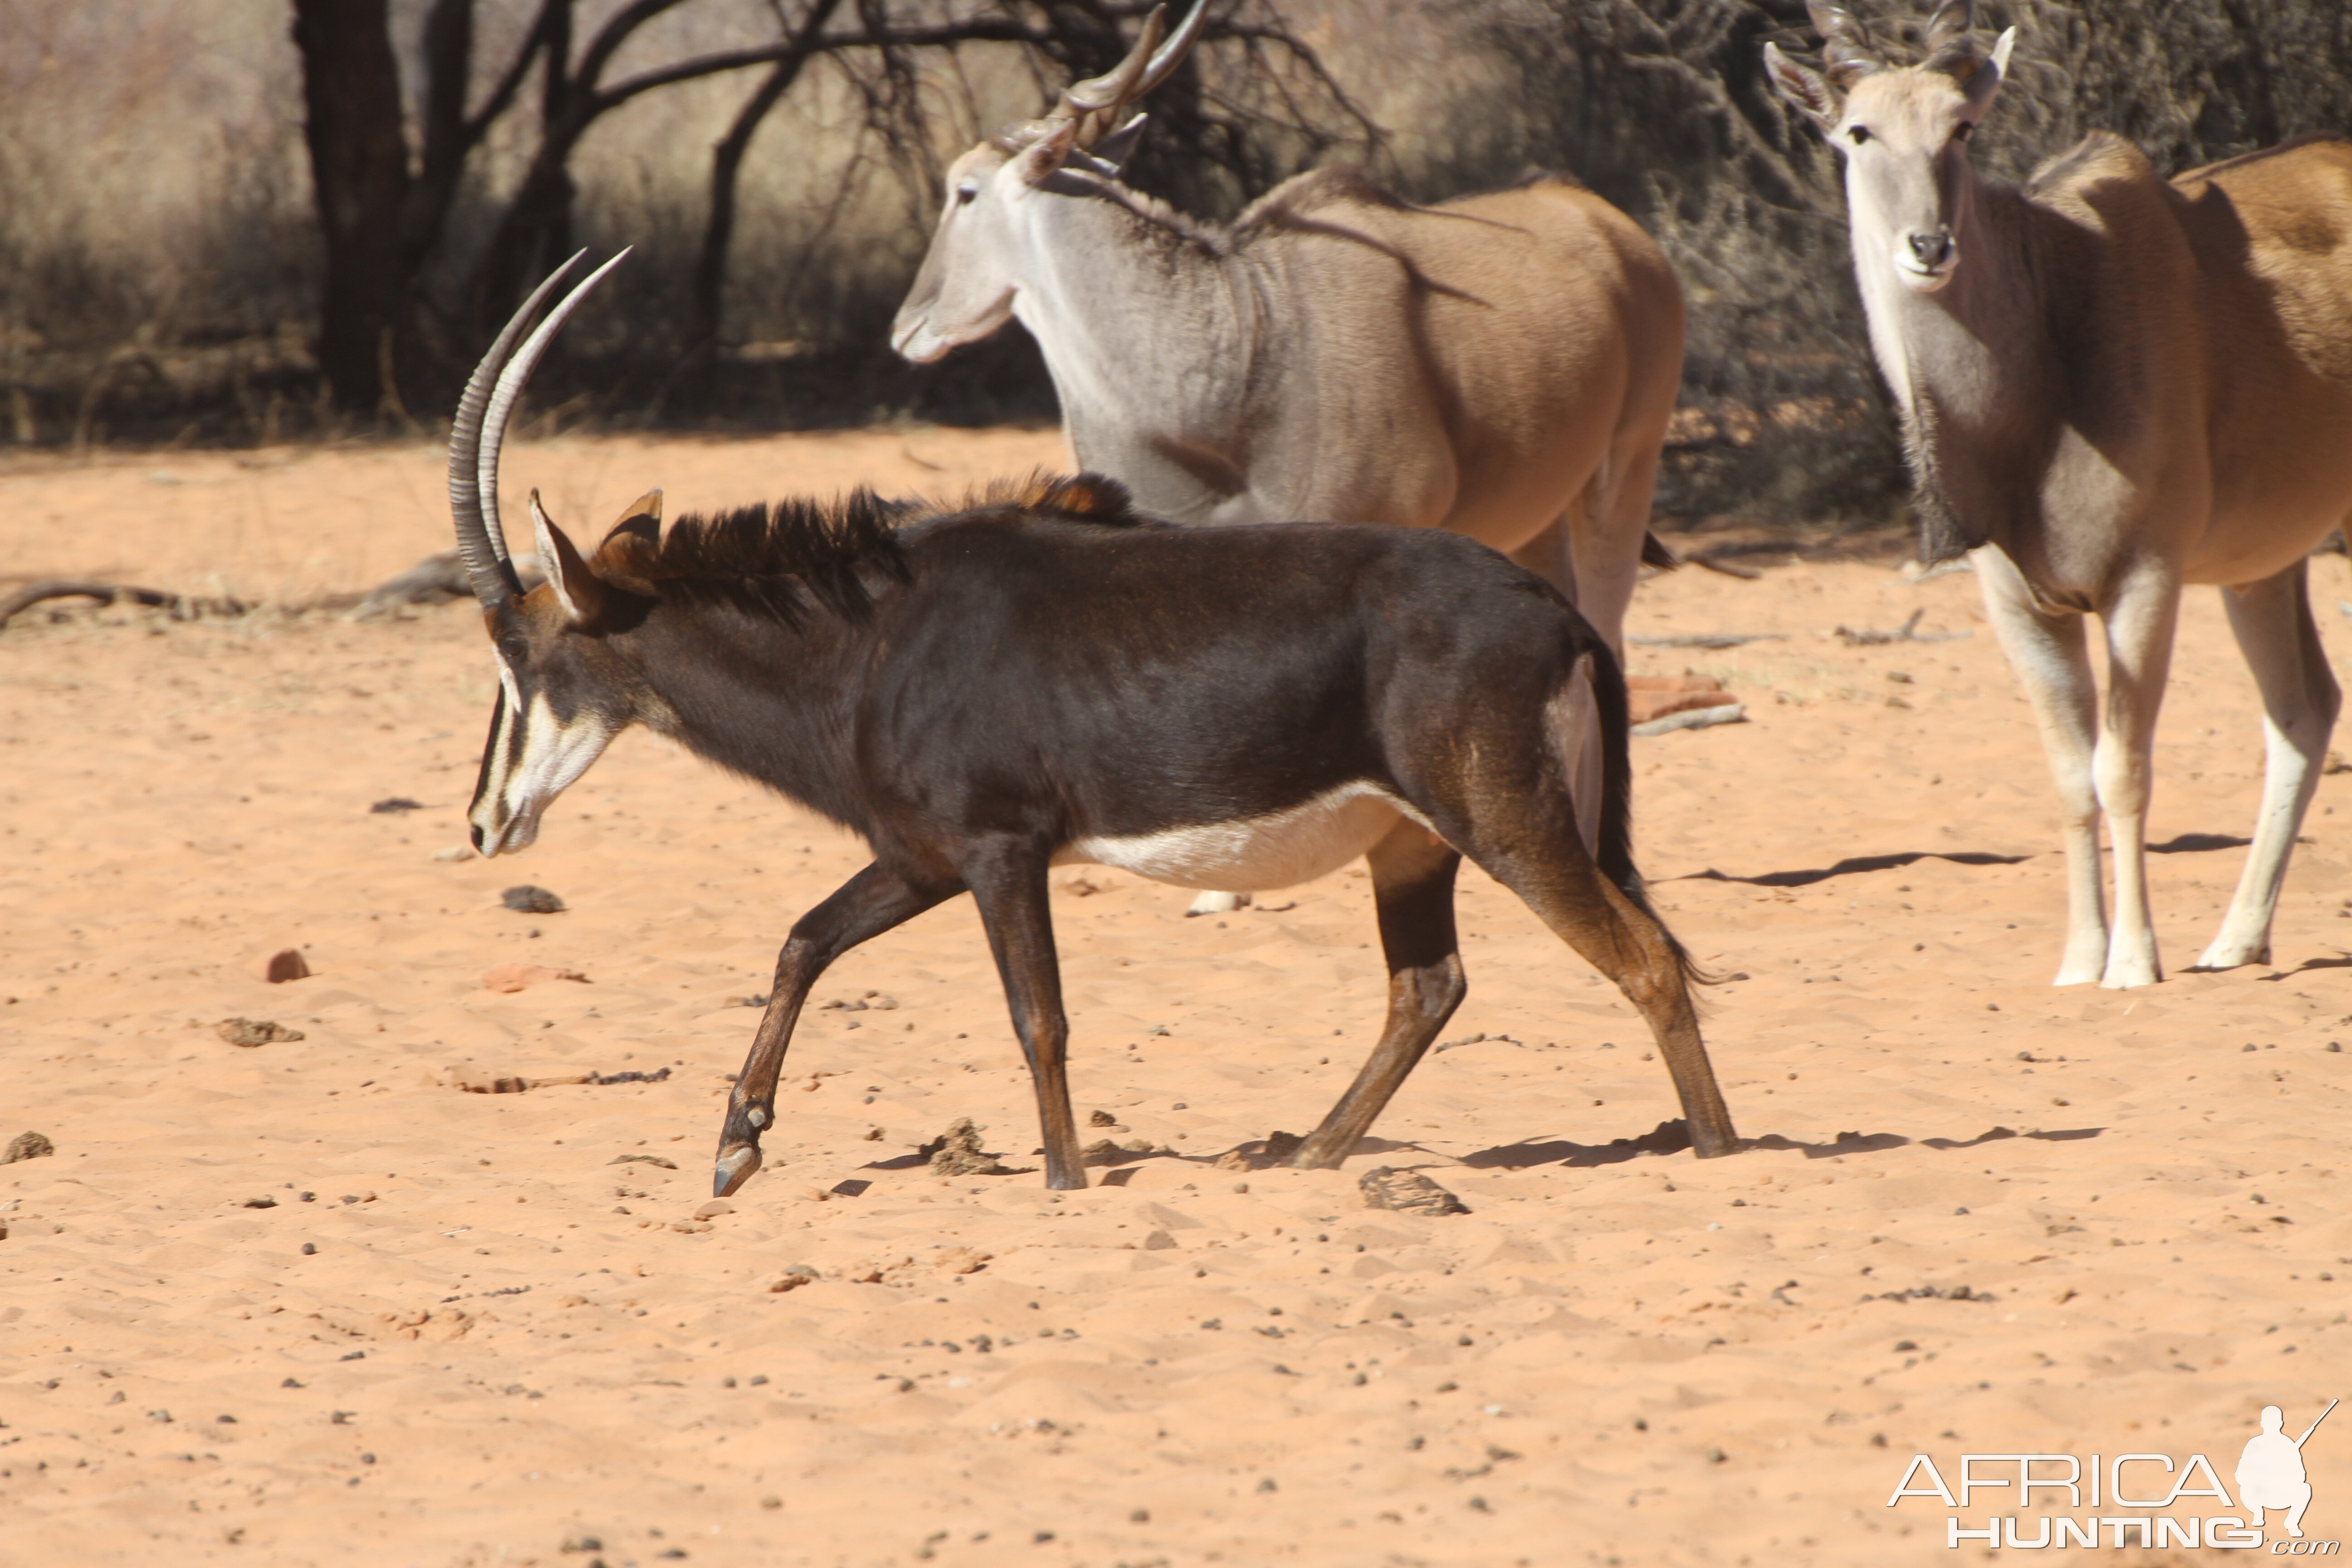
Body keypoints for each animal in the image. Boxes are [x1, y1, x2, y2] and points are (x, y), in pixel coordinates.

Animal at [449, 257, 1740, 1194]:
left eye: (518, 654)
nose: (482, 823)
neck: (872, 639)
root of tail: (1558, 613)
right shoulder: (923, 856)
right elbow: (803, 941)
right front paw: (735, 1146)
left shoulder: (998, 849)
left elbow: (1040, 1017)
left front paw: (1065, 1182)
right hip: (1410, 844)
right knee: (1429, 987)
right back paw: (1307, 1156)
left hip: (1505, 821)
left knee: (1640, 958)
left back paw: (1720, 1151)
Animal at [889, 0, 1684, 921]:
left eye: (965, 190)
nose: (907, 329)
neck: (1242, 349)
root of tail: (1609, 224)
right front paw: (1218, 890)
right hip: (1533, 524)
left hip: (1624, 472)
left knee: (1609, 634)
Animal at [1769, 0, 2352, 992]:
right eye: (1857, 132)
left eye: (1962, 129)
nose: (1928, 247)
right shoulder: (2022, 606)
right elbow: (2071, 779)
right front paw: (2081, 960)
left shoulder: (2141, 581)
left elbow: (2122, 771)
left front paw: (2133, 962)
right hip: (2262, 570)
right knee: (2302, 710)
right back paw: (2236, 940)